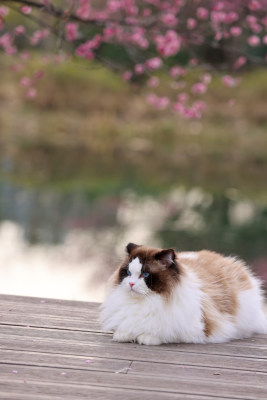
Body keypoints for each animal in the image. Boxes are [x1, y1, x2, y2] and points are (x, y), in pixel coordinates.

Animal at [101, 242, 267, 346]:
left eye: (146, 275)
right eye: (128, 273)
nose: (131, 284)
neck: (147, 301)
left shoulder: (197, 330)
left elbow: (164, 333)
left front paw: (146, 337)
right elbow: (125, 329)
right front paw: (124, 335)